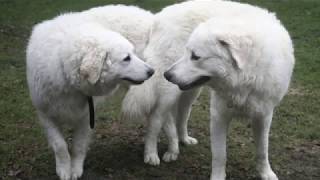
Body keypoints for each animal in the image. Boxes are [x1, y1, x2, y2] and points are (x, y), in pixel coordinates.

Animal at [26, 5, 154, 180]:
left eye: (133, 54)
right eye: (127, 58)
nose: (151, 71)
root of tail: (153, 17)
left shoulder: (85, 117)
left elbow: (78, 146)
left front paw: (75, 169)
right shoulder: (45, 114)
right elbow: (60, 146)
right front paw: (64, 169)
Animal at [165, 1, 296, 180]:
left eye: (195, 56)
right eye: (187, 52)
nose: (167, 75)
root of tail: (162, 13)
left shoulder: (263, 115)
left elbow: (262, 150)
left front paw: (266, 173)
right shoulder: (218, 116)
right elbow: (220, 155)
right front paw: (218, 176)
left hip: (191, 91)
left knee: (183, 113)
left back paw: (184, 139)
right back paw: (171, 150)